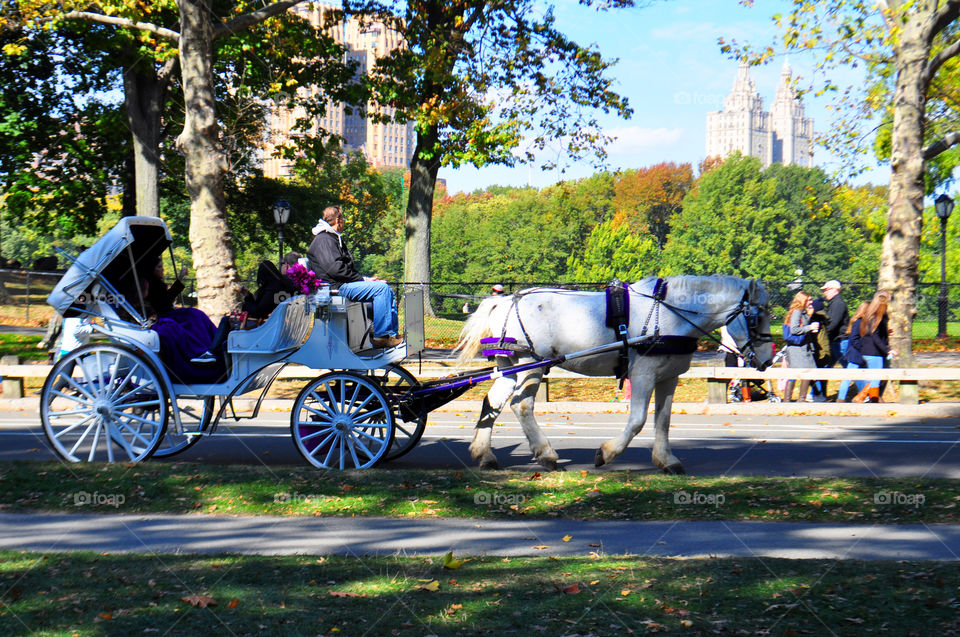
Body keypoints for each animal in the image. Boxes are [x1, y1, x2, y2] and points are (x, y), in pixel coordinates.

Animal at [454, 274, 776, 472]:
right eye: (757, 317)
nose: (767, 359)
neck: (669, 313)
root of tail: (506, 300)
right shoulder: (643, 374)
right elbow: (638, 420)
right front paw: (607, 452)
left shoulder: (669, 377)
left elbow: (663, 421)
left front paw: (666, 460)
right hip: (531, 363)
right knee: (521, 406)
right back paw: (545, 454)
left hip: (510, 366)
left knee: (493, 402)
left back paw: (485, 454)